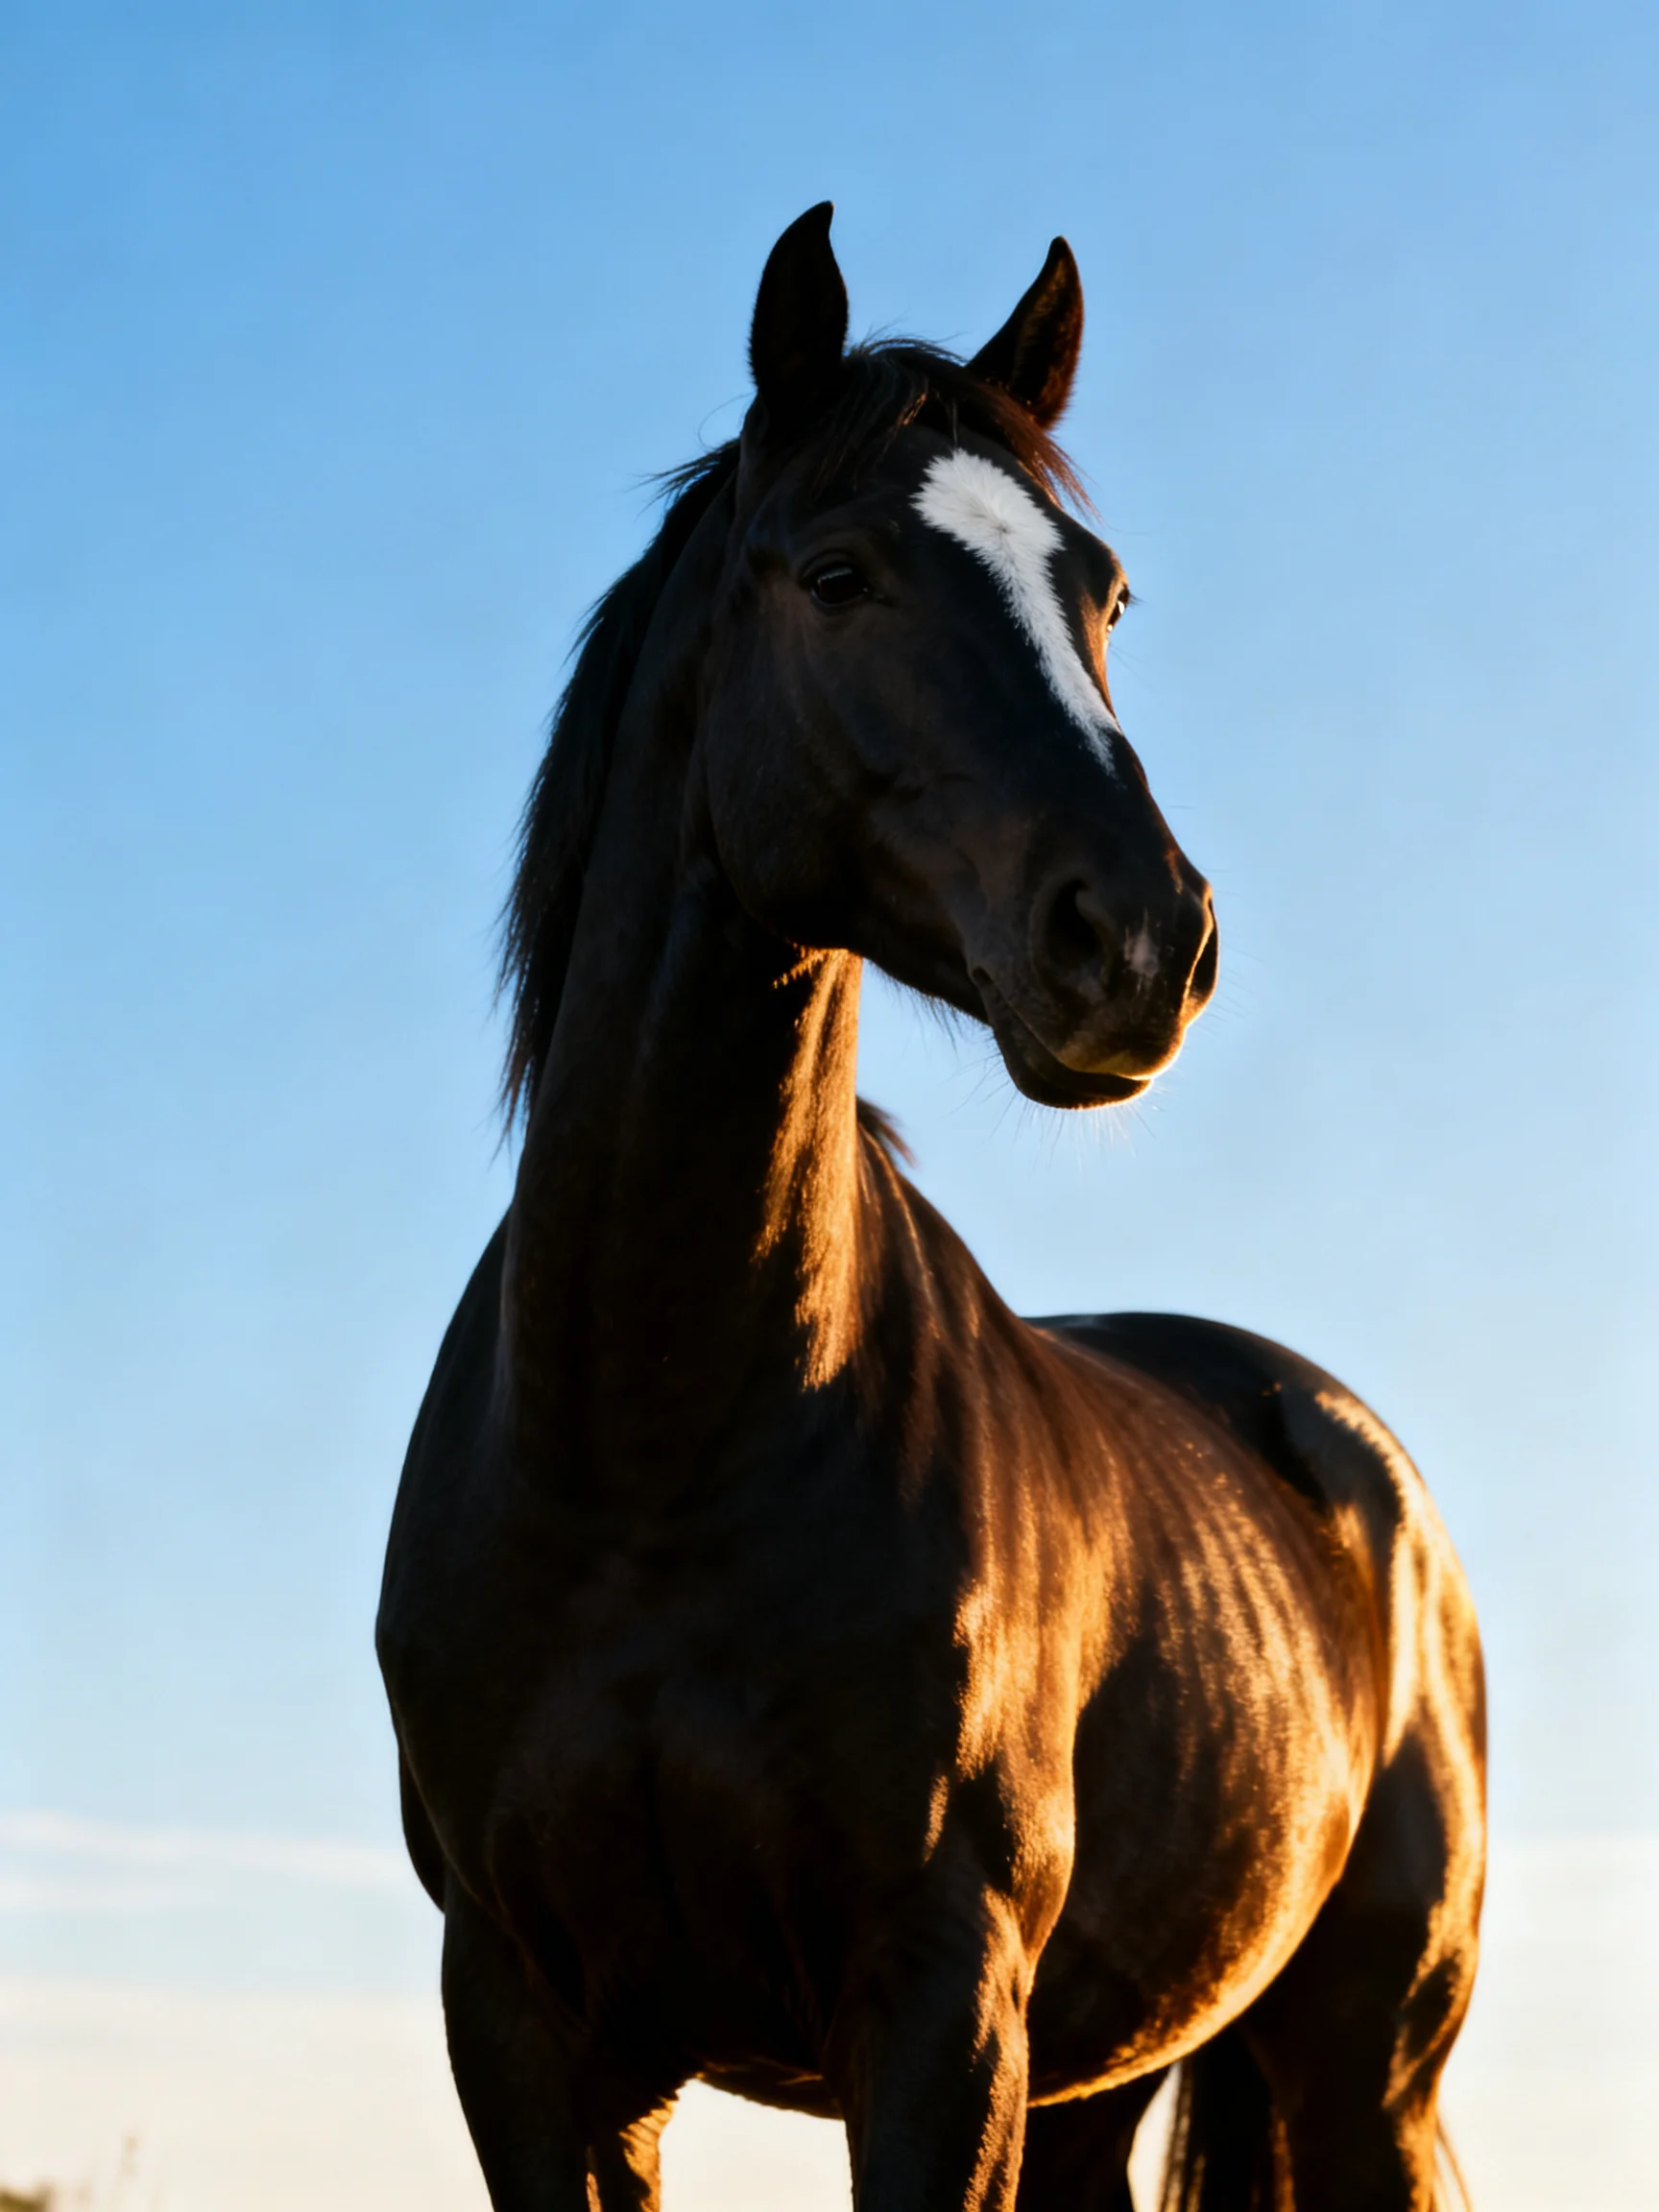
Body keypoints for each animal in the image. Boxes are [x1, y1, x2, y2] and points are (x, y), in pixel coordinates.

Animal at [377, 205, 1485, 2212]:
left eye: (1100, 592)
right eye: (835, 571)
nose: (1140, 940)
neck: (647, 1444)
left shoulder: (937, 2004)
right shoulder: (527, 2029)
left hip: (1361, 2064)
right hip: (1099, 2076)